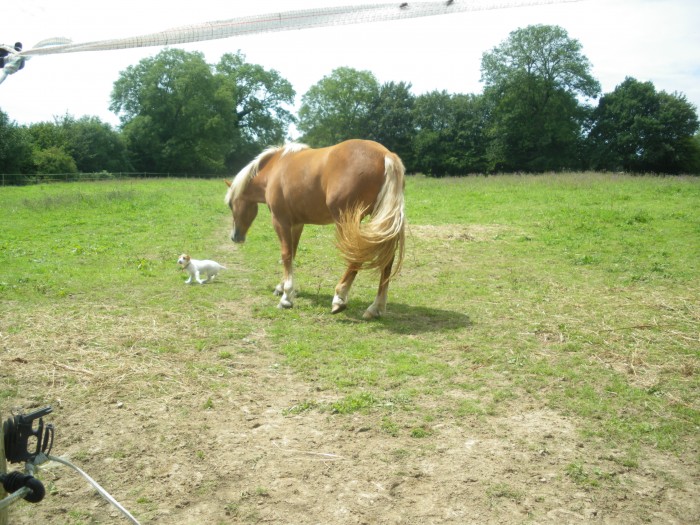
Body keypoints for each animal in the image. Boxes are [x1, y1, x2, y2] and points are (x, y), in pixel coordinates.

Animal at [224, 139, 404, 318]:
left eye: (230, 204)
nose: (235, 236)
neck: (275, 167)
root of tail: (385, 155)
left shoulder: (280, 221)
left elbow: (286, 255)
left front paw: (286, 297)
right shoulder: (297, 224)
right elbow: (292, 254)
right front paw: (282, 287)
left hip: (347, 224)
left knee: (357, 256)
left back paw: (339, 297)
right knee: (387, 260)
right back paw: (375, 308)